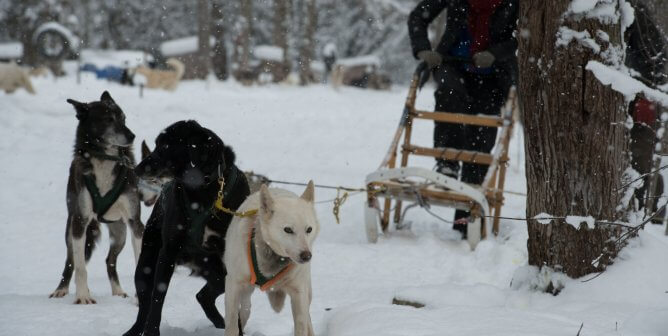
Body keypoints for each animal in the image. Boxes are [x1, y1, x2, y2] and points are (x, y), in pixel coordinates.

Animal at [123, 121, 250, 336]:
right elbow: (157, 299)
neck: (203, 192)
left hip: (218, 273)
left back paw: (220, 321)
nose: (137, 169)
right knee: (145, 307)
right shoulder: (168, 252)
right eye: (156, 144)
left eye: (165, 145)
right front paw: (151, 331)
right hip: (145, 267)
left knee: (204, 295)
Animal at [223, 182, 320, 336]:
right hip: (246, 293)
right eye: (288, 229)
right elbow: (232, 324)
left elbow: (301, 325)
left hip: (306, 292)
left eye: (309, 229)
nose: (306, 256)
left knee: (307, 318)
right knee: (244, 312)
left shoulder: (299, 293)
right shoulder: (233, 284)